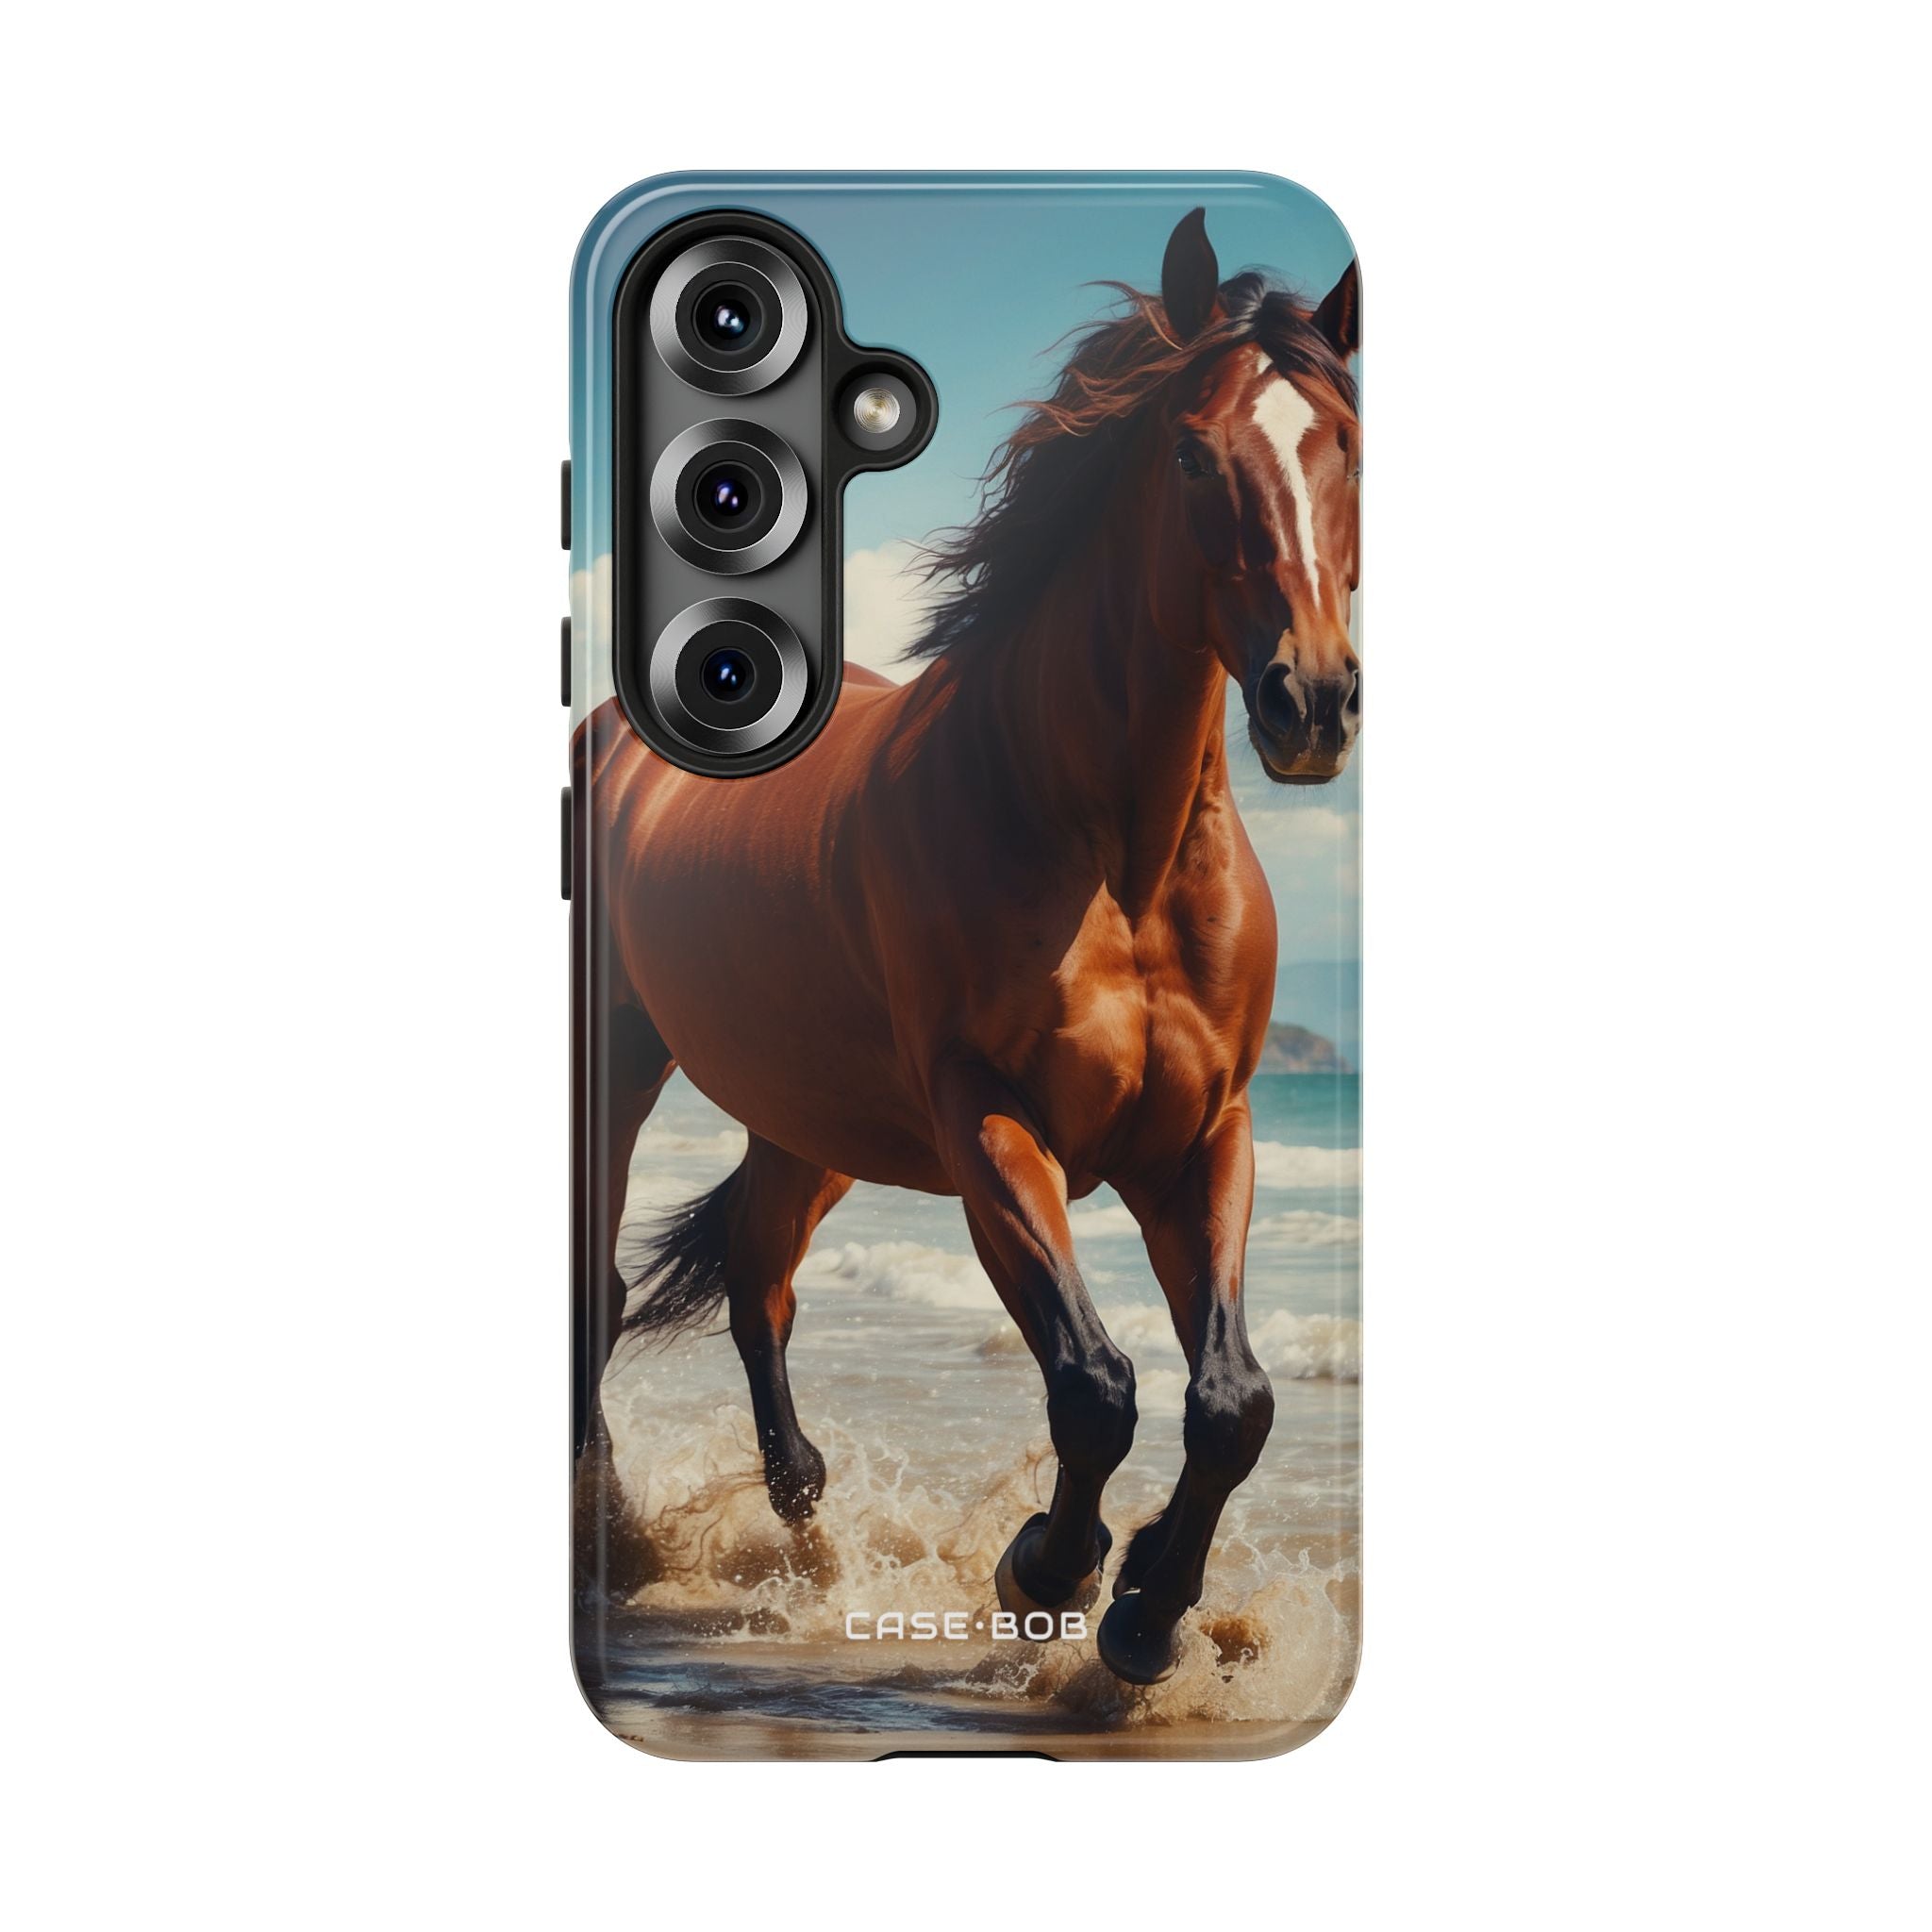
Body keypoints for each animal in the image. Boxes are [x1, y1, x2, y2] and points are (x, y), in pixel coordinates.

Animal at [573, 208, 1361, 1685]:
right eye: (1189, 450)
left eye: (1347, 442)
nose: (1313, 702)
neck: (1108, 852)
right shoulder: (989, 1123)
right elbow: (1095, 1385)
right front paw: (1049, 1568)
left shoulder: (1204, 1136)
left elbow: (1231, 1401)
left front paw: (1148, 1612)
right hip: (621, 1071)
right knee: (598, 1286)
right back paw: (617, 1534)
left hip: (805, 1121)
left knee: (758, 1289)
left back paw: (806, 1538)